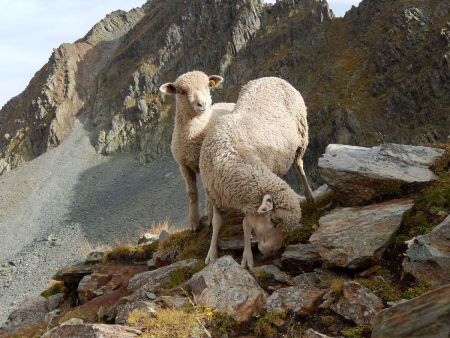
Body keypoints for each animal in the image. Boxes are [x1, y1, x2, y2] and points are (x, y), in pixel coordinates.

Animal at [159, 70, 236, 231]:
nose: (202, 104)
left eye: (207, 85)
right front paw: (194, 223)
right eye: (182, 91)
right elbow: (192, 193)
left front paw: (210, 218)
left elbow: (207, 192)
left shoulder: (205, 164)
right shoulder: (183, 166)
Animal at [200, 76, 312, 270]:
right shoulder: (216, 194)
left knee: (299, 166)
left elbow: (246, 224)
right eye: (274, 221)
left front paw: (247, 257)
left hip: (300, 139)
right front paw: (211, 254)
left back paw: (310, 195)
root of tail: (272, 77)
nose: (273, 251)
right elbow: (217, 223)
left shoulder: (249, 199)